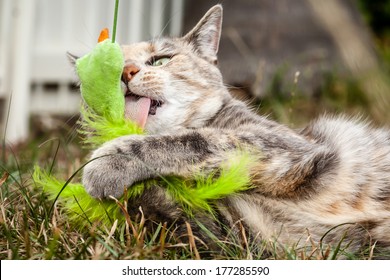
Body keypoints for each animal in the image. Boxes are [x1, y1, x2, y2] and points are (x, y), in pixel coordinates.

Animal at [74, 4, 390, 258]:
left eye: (161, 60)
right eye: (104, 71)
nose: (125, 71)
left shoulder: (286, 145)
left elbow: (194, 141)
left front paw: (105, 163)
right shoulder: (245, 233)